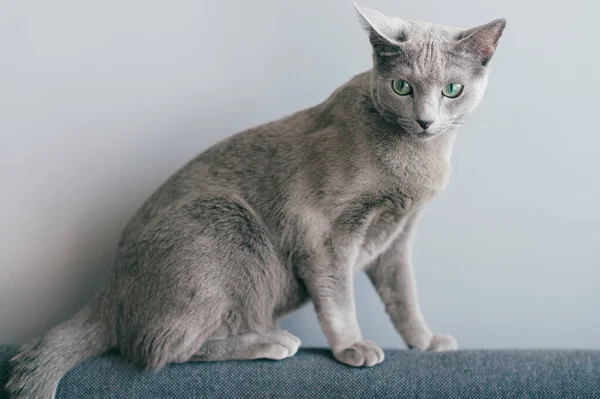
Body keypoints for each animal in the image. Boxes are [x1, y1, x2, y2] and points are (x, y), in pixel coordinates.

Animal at [8, 3, 506, 399]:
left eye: (452, 90)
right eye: (402, 87)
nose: (425, 120)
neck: (416, 164)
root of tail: (110, 290)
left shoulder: (396, 237)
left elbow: (404, 296)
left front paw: (425, 341)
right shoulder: (323, 232)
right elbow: (338, 298)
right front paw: (351, 347)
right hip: (223, 224)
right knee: (158, 349)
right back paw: (270, 341)